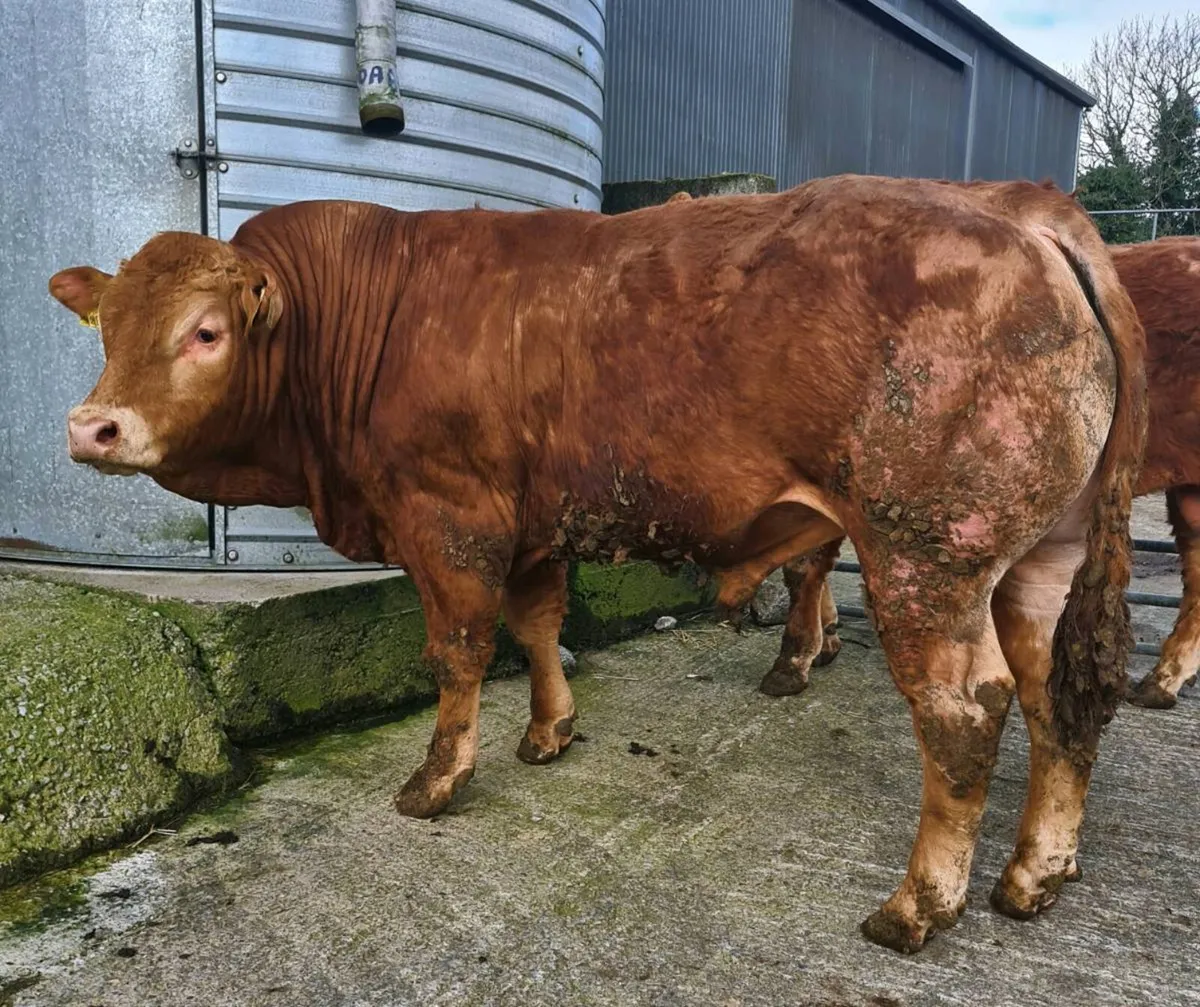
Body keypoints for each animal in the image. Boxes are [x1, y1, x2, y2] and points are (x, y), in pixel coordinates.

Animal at [47, 174, 1145, 953]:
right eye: (107, 327)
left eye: (206, 331)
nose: (93, 426)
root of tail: (1025, 209)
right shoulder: (531, 525)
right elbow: (537, 624)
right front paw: (550, 729)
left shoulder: (447, 519)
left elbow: (457, 651)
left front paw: (438, 778)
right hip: (1036, 562)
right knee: (1057, 696)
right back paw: (1035, 872)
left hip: (928, 556)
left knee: (964, 713)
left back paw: (920, 902)